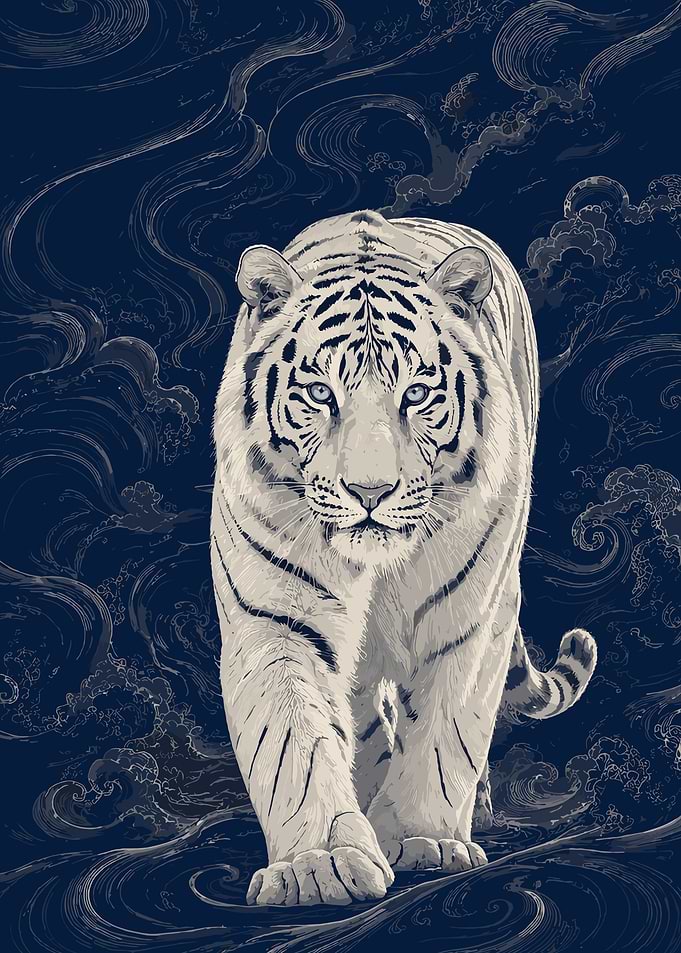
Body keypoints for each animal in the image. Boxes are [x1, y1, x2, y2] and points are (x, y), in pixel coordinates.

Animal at [210, 209, 597, 907]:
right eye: (319, 393)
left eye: (417, 394)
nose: (370, 492)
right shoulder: (275, 620)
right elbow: (293, 743)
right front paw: (321, 864)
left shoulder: (470, 617)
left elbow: (446, 734)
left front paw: (424, 840)